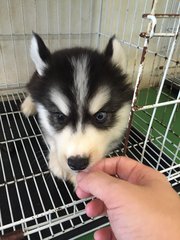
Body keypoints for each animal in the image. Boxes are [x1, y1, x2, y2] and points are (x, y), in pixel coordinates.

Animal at [21, 32, 133, 185]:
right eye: (60, 117)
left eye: (100, 116)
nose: (77, 163)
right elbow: (51, 138)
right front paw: (56, 160)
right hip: (35, 80)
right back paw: (28, 104)